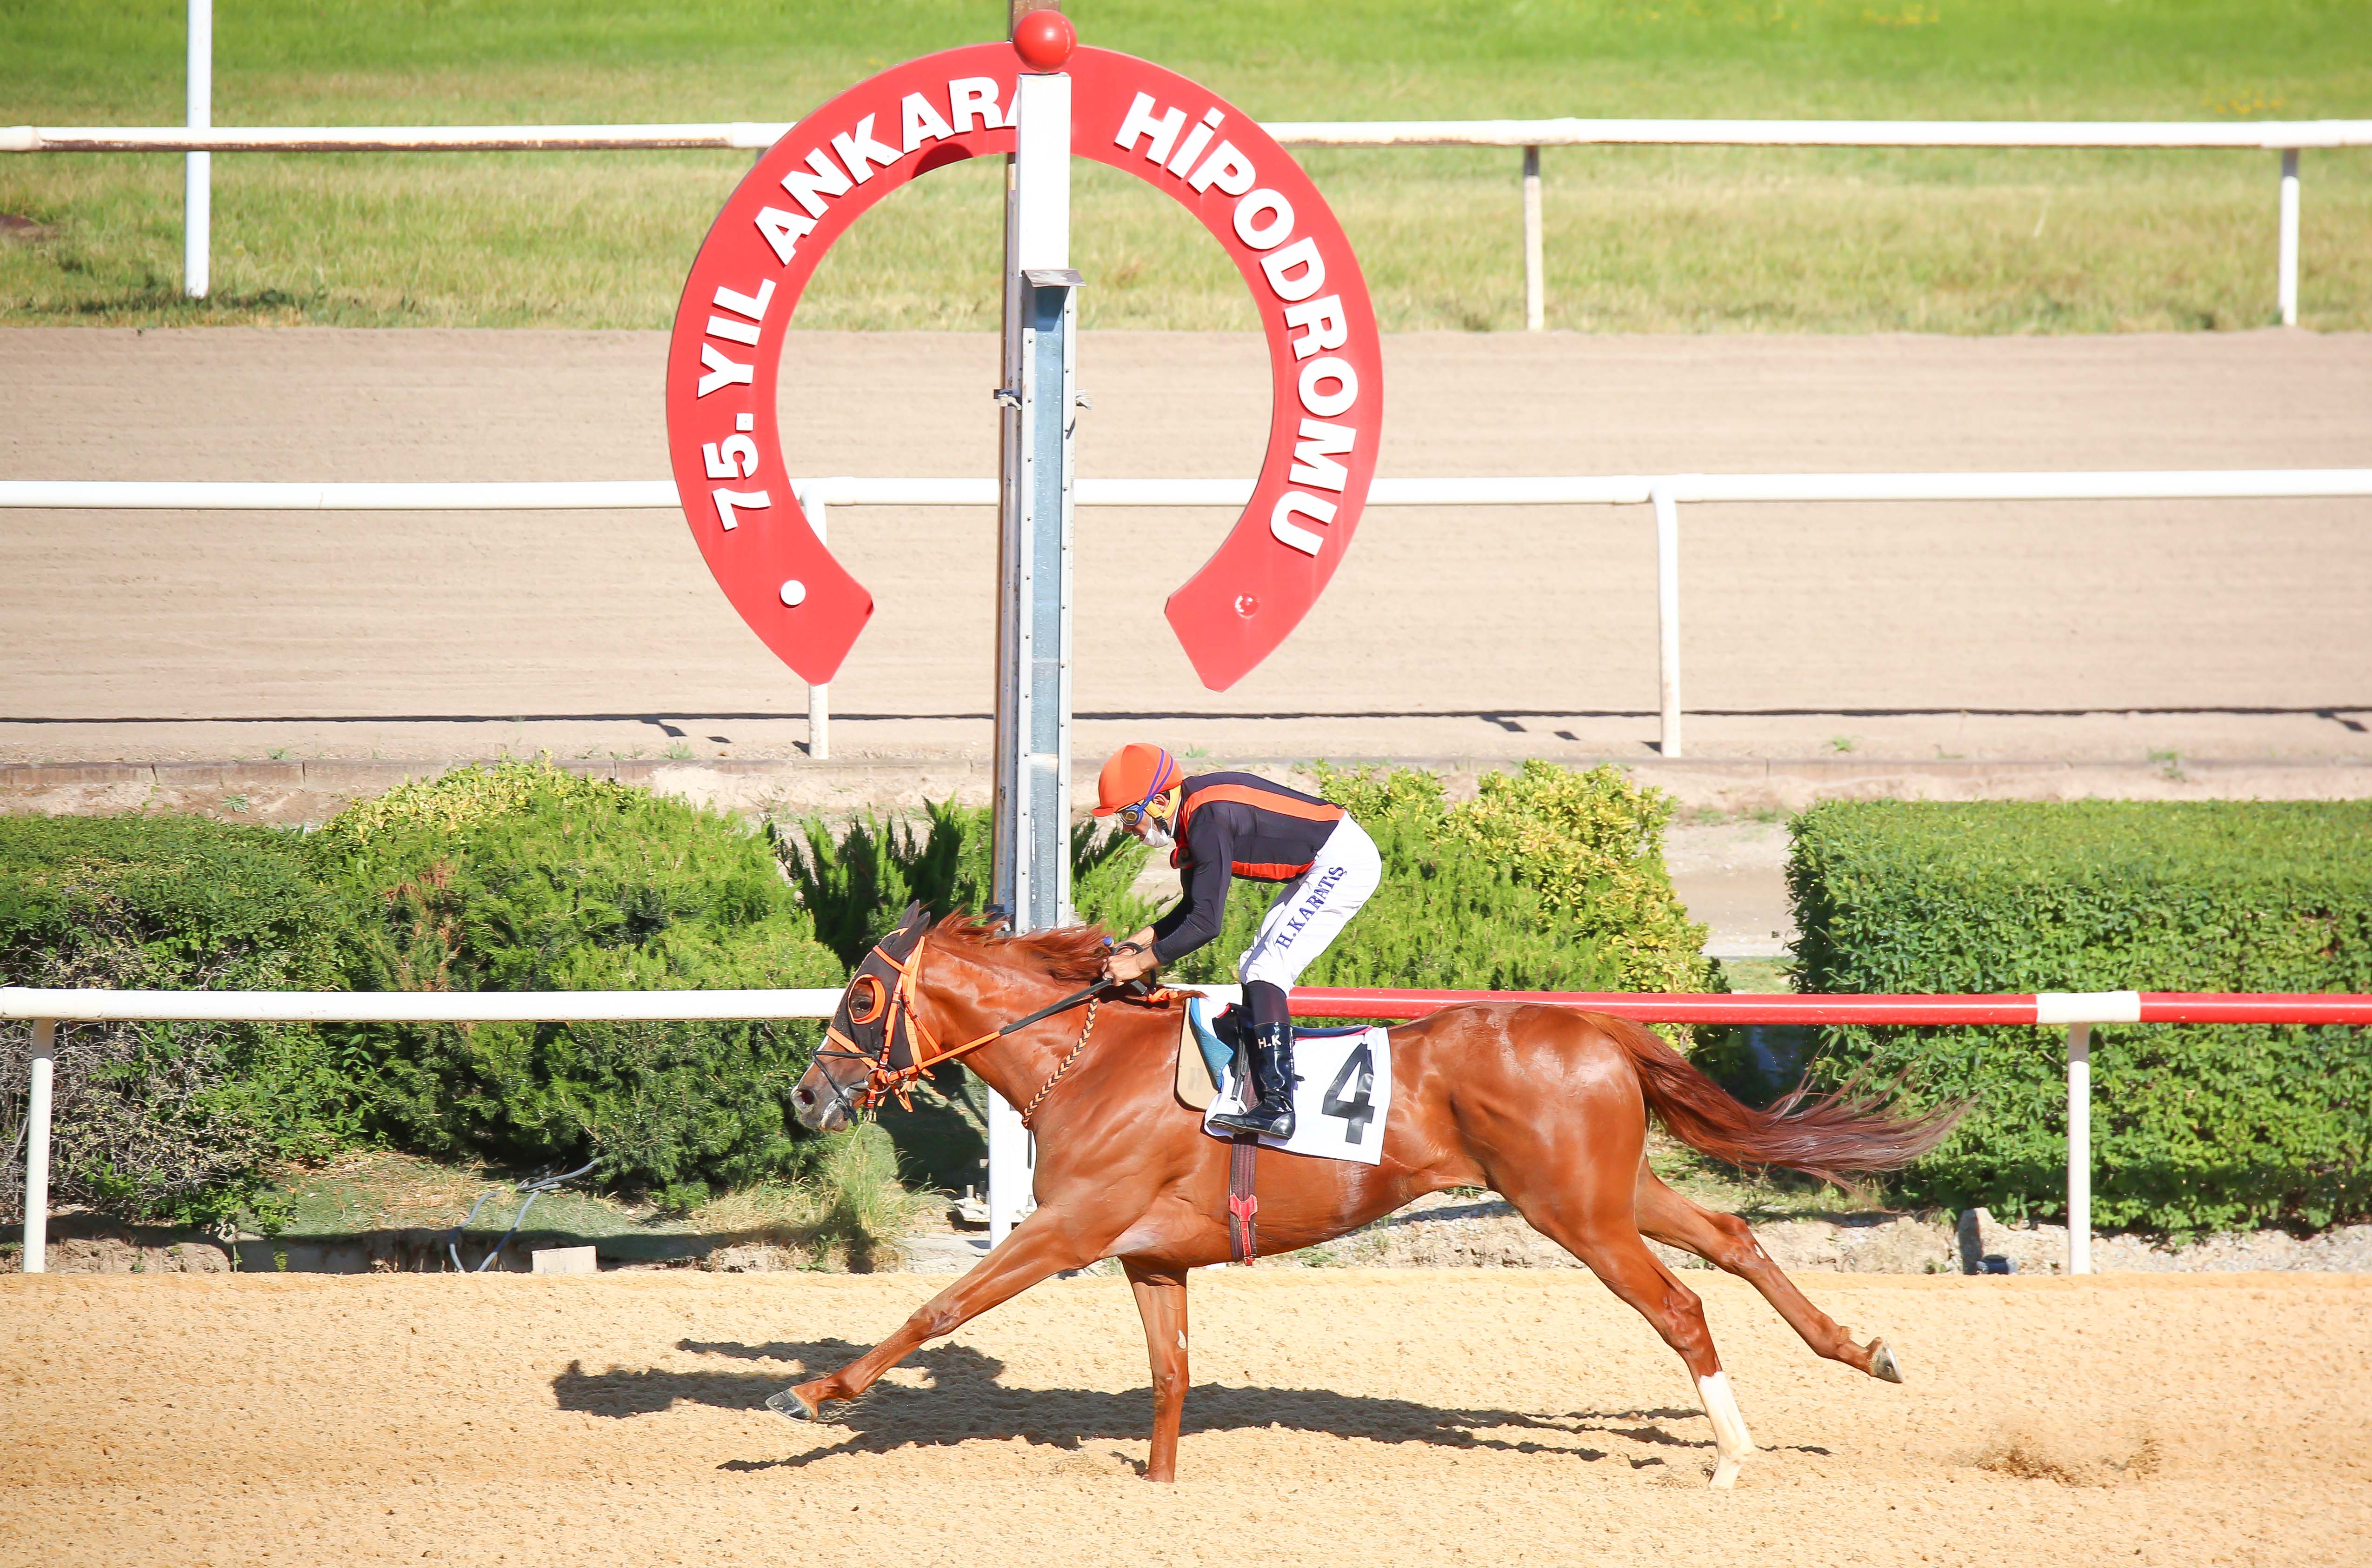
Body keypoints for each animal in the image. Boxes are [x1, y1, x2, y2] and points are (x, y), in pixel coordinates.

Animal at [783, 906, 1960, 1488]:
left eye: (864, 996)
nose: (805, 1095)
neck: (1086, 1060)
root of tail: (1592, 1023)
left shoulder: (1069, 1229)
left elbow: (940, 1305)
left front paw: (816, 1393)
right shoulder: (1150, 1255)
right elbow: (1169, 1375)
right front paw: (1158, 1486)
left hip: (1575, 1213)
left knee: (1679, 1304)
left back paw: (1731, 1453)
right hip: (1618, 1187)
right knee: (1731, 1237)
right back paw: (1861, 1349)